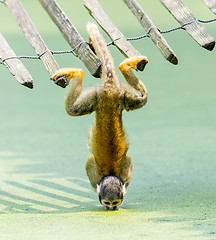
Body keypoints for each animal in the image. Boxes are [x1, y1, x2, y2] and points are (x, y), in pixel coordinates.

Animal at [50, 22, 148, 210]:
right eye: (107, 202)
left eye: (115, 202)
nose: (112, 208)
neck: (110, 174)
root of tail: (110, 88)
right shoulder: (97, 175)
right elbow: (89, 161)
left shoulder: (123, 174)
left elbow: (128, 159)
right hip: (106, 95)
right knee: (73, 109)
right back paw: (81, 72)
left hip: (115, 95)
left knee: (141, 99)